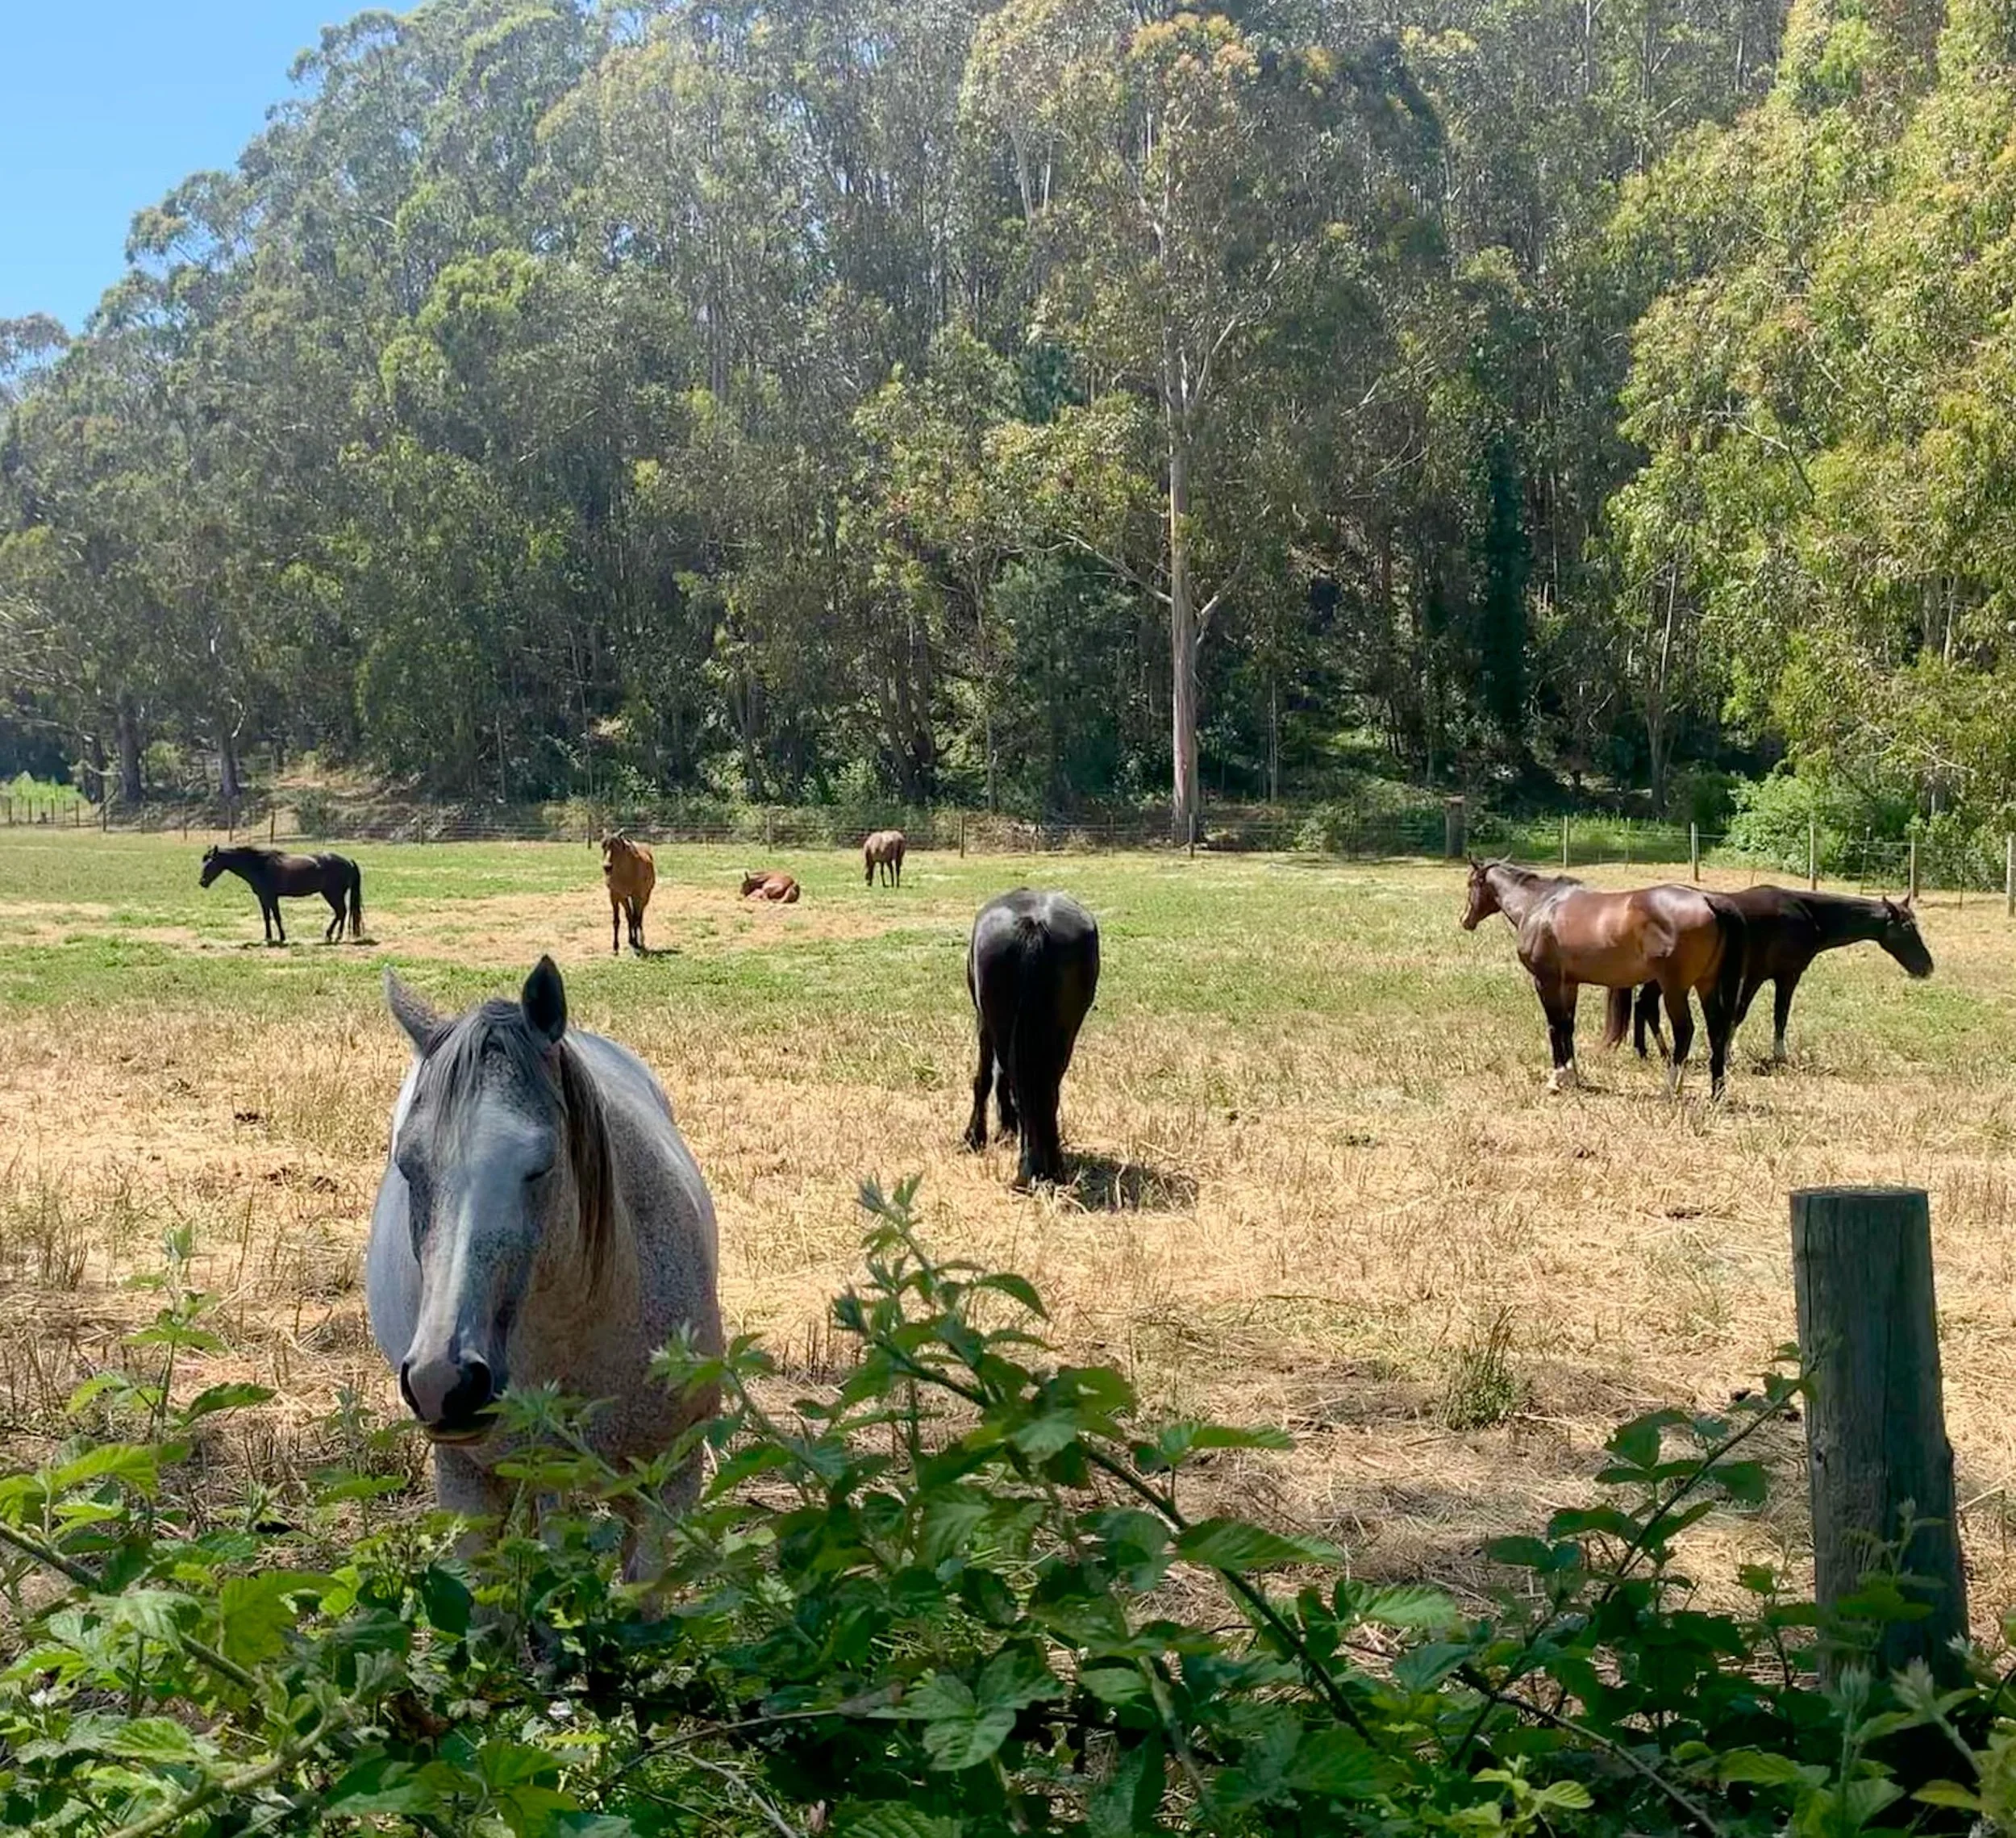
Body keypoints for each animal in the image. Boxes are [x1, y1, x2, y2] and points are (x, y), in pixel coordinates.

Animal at [199, 844, 362, 945]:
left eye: (210, 863)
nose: (202, 882)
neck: (259, 865)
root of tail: (348, 862)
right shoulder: (263, 898)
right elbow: (267, 917)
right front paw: (268, 937)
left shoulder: (271, 897)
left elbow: (277, 917)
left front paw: (282, 937)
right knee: (341, 913)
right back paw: (333, 936)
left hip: (332, 894)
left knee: (341, 912)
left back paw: (334, 936)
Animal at [600, 831, 656, 954]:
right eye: (603, 846)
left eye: (617, 847)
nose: (607, 867)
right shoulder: (615, 895)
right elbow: (617, 920)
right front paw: (615, 947)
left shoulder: (637, 896)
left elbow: (636, 918)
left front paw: (637, 943)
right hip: (625, 898)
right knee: (630, 915)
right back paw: (631, 940)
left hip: (645, 897)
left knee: (639, 917)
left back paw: (639, 940)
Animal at [963, 889, 1100, 1185]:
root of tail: (1034, 922)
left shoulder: (983, 1020)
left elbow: (984, 1078)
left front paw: (974, 1138)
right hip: (1064, 1032)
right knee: (1047, 1089)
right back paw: (1050, 1168)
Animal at [1460, 858, 1747, 1098]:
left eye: (1471, 883)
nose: (1465, 920)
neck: (1541, 905)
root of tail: (1707, 901)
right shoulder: (1569, 983)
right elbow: (1567, 1025)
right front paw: (1572, 1076)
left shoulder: (1545, 981)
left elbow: (1554, 1025)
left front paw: (1556, 1079)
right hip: (1706, 985)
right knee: (1716, 1030)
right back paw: (1717, 1092)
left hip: (1674, 989)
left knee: (1685, 1030)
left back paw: (1670, 1089)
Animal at [1624, 886, 1934, 1065]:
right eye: (1907, 928)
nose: (1927, 967)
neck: (1807, 913)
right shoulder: (1777, 976)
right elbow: (1769, 1015)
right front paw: (1772, 1055)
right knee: (1646, 1004)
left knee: (1643, 1005)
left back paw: (1647, 1052)